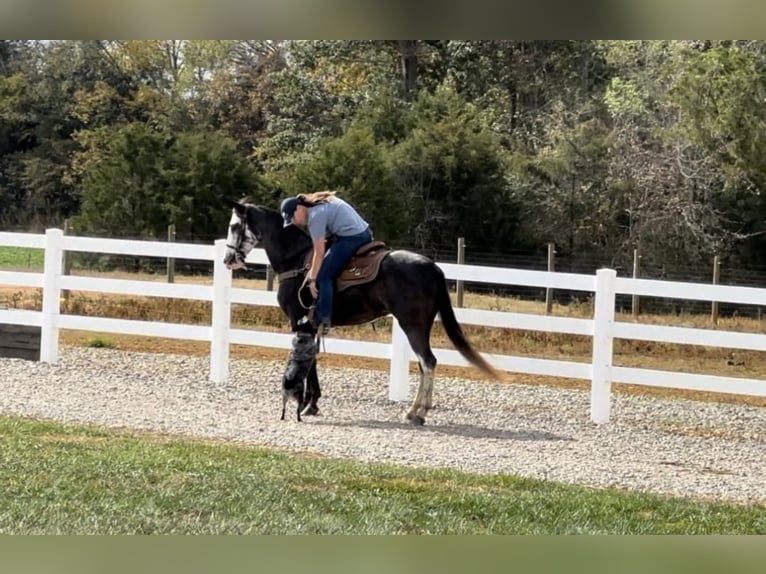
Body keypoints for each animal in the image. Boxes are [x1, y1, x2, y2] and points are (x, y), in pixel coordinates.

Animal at [222, 200, 500, 426]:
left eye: (235, 226)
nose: (227, 260)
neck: (297, 261)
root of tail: (433, 267)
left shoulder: (298, 322)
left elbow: (309, 361)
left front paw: (309, 404)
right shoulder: (310, 326)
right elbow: (313, 358)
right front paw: (314, 402)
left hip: (412, 325)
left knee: (428, 362)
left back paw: (417, 413)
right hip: (422, 326)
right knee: (424, 364)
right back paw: (417, 410)